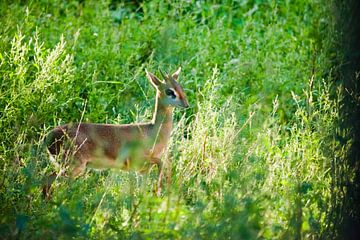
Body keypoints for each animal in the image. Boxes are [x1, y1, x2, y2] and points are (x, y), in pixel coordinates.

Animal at [45, 67, 188, 197]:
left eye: (180, 87)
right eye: (169, 91)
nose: (186, 104)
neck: (152, 131)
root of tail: (49, 136)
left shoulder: (142, 170)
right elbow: (160, 163)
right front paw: (158, 191)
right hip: (73, 166)